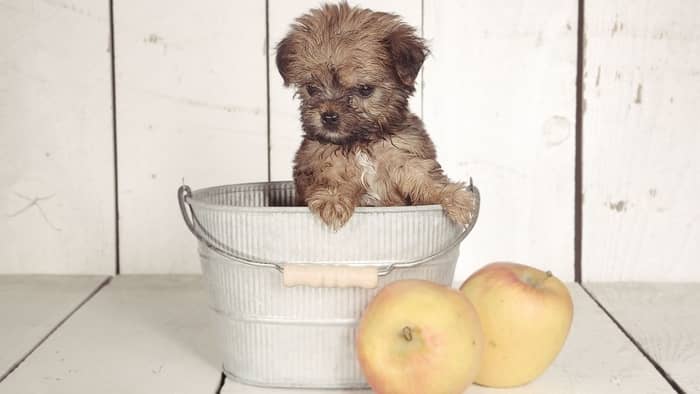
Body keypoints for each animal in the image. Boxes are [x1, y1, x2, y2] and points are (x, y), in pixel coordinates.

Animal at [276, 1, 474, 229]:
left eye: (364, 89)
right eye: (311, 88)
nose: (328, 116)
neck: (361, 143)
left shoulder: (405, 156)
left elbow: (425, 177)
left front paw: (454, 197)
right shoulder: (318, 160)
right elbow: (329, 176)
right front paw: (332, 200)